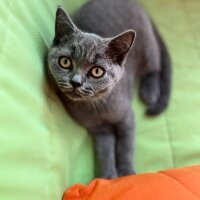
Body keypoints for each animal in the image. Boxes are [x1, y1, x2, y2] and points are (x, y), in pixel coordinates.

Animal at [46, 0, 171, 178]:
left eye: (97, 71)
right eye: (65, 62)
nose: (76, 82)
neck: (96, 107)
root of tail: (138, 4)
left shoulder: (126, 116)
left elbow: (126, 145)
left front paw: (126, 172)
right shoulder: (99, 129)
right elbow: (104, 150)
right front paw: (108, 176)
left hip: (147, 47)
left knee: (155, 65)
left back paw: (150, 91)